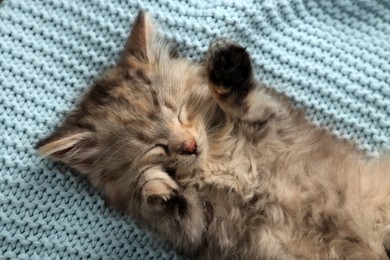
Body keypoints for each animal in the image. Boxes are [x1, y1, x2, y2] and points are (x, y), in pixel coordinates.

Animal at [36, 12, 390, 260]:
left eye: (179, 111)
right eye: (154, 147)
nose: (190, 145)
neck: (219, 160)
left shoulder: (279, 126)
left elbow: (248, 104)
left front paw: (227, 70)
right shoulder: (201, 227)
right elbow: (174, 209)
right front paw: (154, 184)